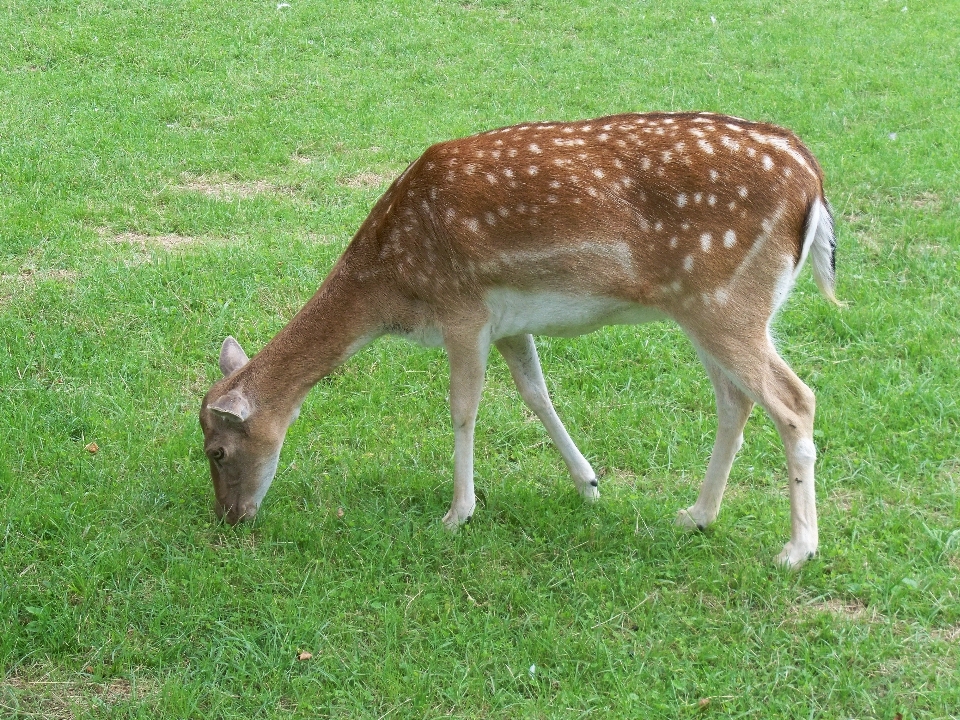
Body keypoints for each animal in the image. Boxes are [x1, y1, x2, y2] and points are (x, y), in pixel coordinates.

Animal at [199, 111, 836, 568]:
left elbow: (462, 408)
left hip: (728, 303)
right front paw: (589, 484)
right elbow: (536, 393)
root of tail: (814, 180)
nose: (231, 517)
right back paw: (697, 515)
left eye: (217, 451)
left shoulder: (464, 310)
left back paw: (796, 550)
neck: (394, 286)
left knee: (795, 399)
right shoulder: (510, 323)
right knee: (736, 402)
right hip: (707, 310)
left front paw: (458, 513)